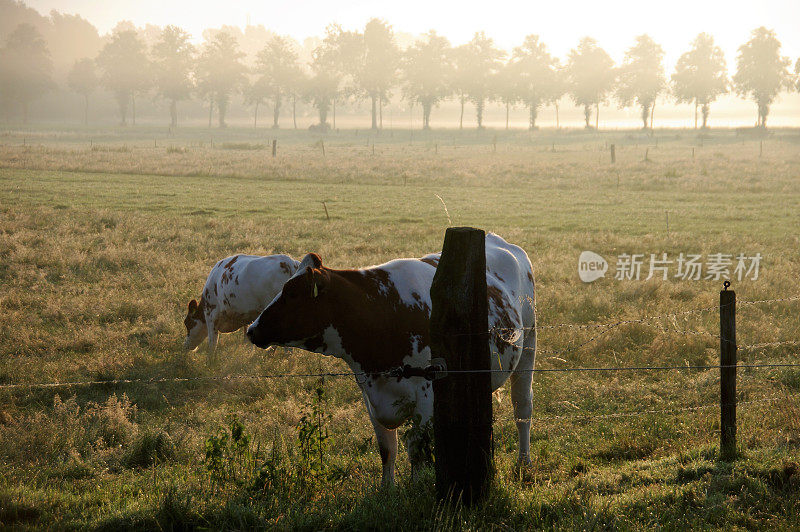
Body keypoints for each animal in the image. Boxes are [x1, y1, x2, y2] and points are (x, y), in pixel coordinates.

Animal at [247, 233, 536, 486]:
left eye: (293, 294)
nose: (252, 329)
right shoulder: (370, 393)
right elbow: (387, 449)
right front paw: (387, 490)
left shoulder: (427, 395)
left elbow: (417, 450)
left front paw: (417, 487)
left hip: (528, 351)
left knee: (522, 410)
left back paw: (524, 462)